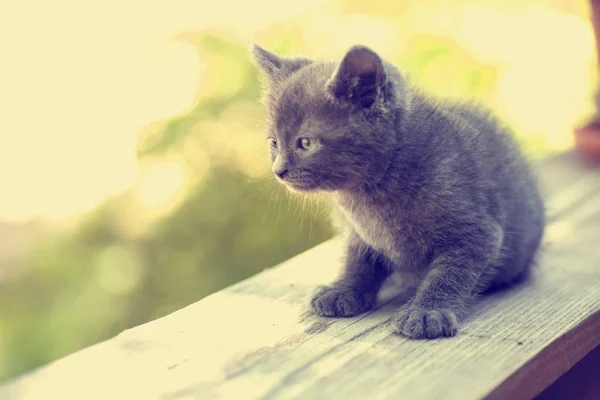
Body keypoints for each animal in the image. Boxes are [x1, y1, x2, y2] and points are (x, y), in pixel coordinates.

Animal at [251, 43, 548, 340]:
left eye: (306, 143)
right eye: (274, 143)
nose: (278, 170)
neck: (368, 194)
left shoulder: (477, 234)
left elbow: (448, 275)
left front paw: (427, 312)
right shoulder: (359, 232)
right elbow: (357, 261)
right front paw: (343, 290)